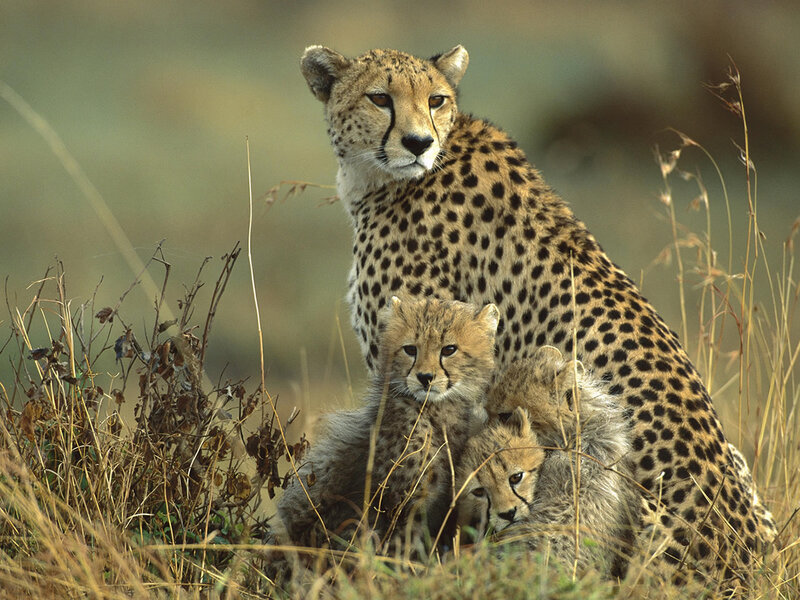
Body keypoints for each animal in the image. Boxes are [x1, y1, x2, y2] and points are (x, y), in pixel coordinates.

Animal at [276, 296, 499, 558]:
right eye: (410, 349)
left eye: (449, 349)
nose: (425, 377)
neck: (435, 410)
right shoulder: (398, 507)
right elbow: (400, 551)